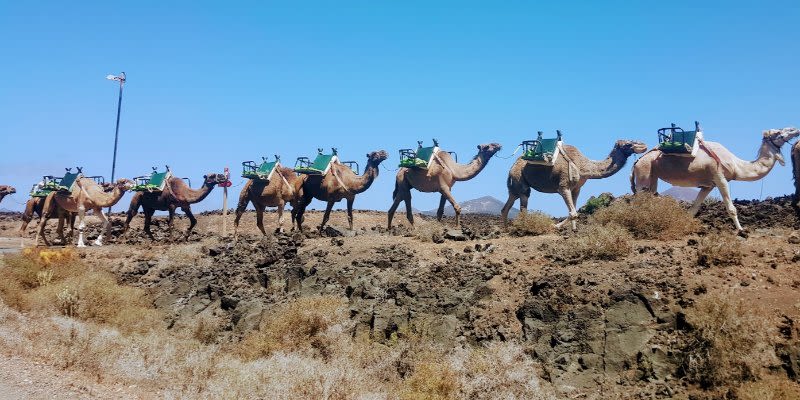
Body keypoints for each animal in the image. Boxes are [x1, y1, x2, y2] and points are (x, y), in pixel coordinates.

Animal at [500, 140, 648, 228]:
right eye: (628, 144)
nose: (643, 145)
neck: (583, 166)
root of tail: (512, 167)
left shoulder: (576, 188)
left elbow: (574, 211)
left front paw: (573, 230)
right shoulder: (563, 186)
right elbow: (573, 213)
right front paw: (555, 226)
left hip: (515, 186)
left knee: (507, 206)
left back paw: (506, 229)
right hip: (520, 179)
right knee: (523, 203)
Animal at [636, 126, 796, 230]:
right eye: (778, 132)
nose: (795, 129)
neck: (736, 165)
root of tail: (637, 161)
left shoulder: (708, 185)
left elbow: (693, 209)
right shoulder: (719, 177)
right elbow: (731, 208)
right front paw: (741, 230)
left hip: (653, 176)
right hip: (643, 173)